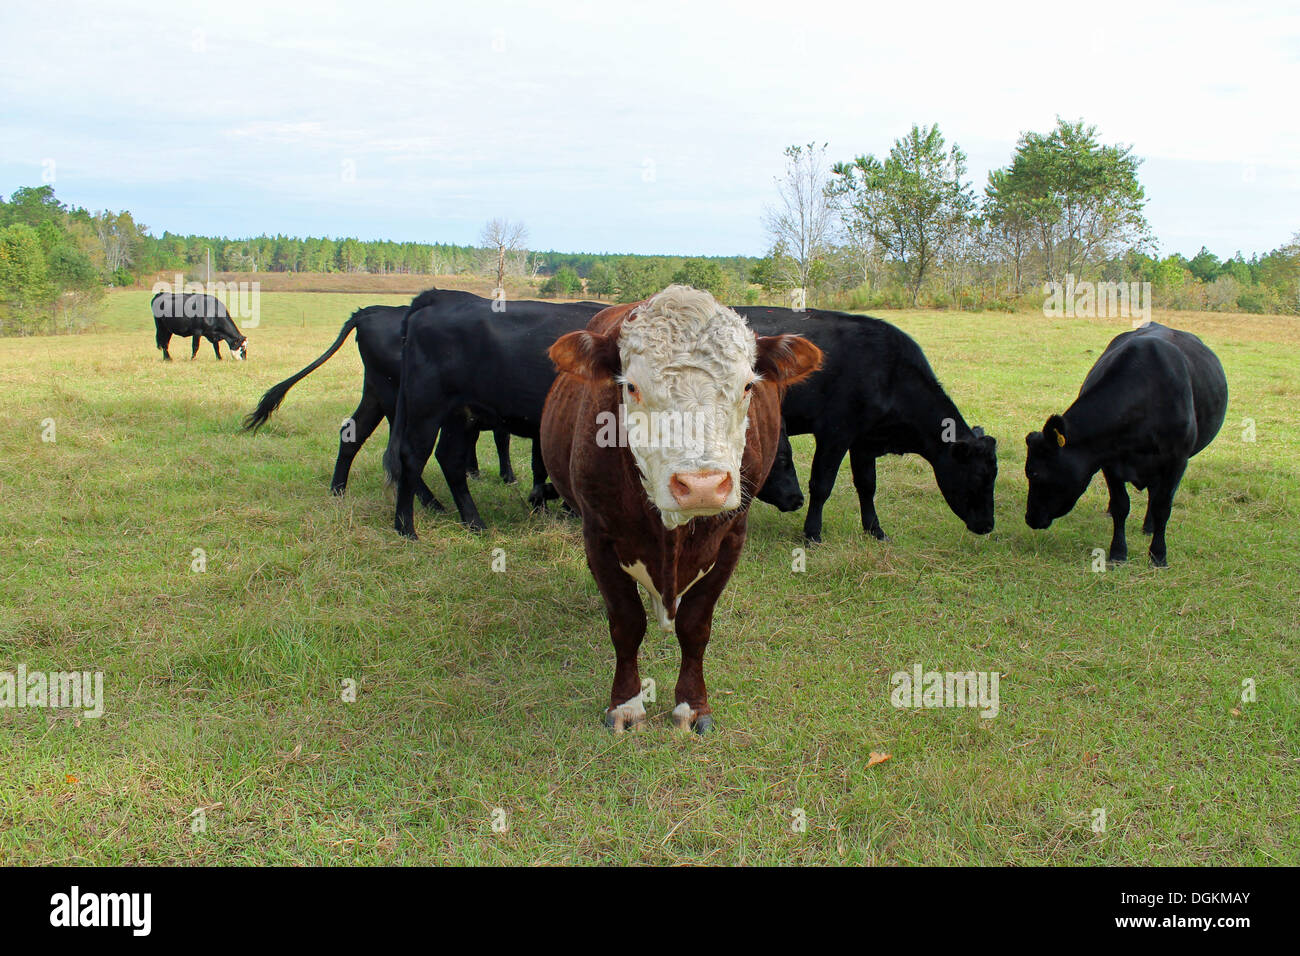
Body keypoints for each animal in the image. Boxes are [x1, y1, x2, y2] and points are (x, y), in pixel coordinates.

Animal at [241, 303, 514, 507]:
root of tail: (370, 312)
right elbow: (499, 438)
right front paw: (505, 476)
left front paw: (481, 472)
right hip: (399, 400)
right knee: (399, 449)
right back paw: (431, 502)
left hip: (375, 393)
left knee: (353, 433)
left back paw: (338, 491)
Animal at [386, 289, 807, 538]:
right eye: (783, 458)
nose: (798, 498)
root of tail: (435, 300)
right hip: (426, 408)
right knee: (411, 457)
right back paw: (406, 526)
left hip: (462, 415)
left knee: (450, 461)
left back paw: (472, 522)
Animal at [541, 286, 822, 733]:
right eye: (631, 387)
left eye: (747, 386)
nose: (702, 486)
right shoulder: (598, 535)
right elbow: (626, 622)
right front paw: (626, 704)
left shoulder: (732, 536)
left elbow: (695, 625)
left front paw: (693, 705)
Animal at [735, 306, 997, 542]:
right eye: (978, 476)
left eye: (994, 475)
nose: (987, 525)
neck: (890, 374)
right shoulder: (835, 433)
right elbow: (821, 485)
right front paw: (812, 532)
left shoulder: (864, 440)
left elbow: (867, 485)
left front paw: (875, 530)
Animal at [1025, 322, 1227, 567]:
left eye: (1033, 473)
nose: (1030, 518)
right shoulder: (1109, 461)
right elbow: (1121, 505)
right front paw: (1118, 552)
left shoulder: (1176, 460)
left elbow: (1163, 506)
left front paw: (1158, 555)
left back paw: (1149, 527)